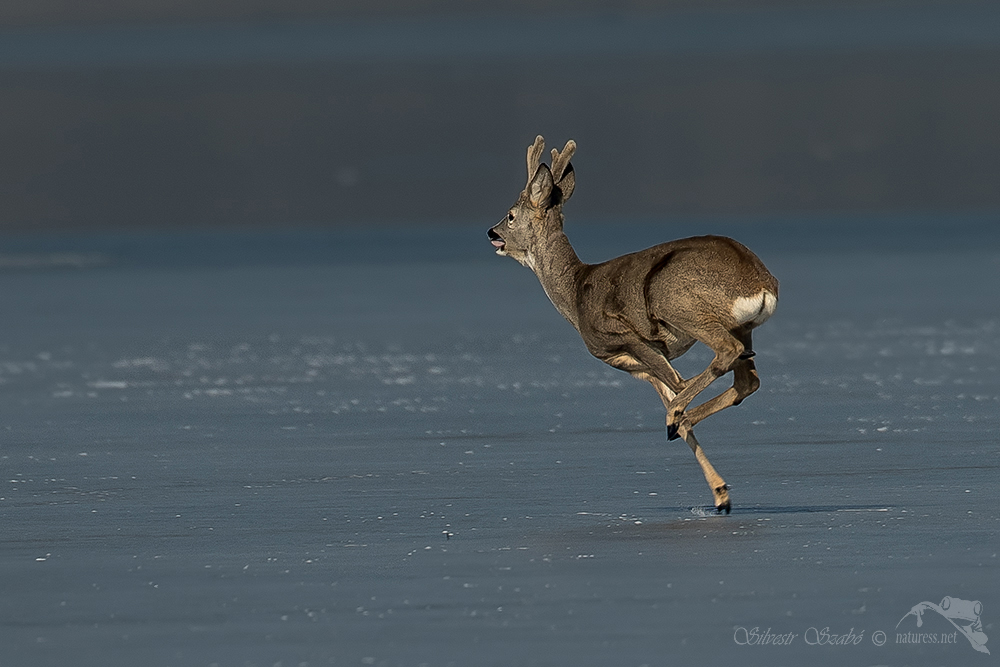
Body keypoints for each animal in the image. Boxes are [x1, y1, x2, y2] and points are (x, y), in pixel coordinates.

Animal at [488, 134, 776, 512]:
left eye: (510, 215)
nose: (490, 232)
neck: (575, 290)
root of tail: (762, 284)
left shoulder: (630, 337)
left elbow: (678, 386)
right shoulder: (638, 366)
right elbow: (675, 394)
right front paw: (720, 494)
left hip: (677, 302)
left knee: (726, 354)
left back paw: (675, 417)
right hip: (743, 326)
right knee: (747, 379)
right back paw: (681, 422)